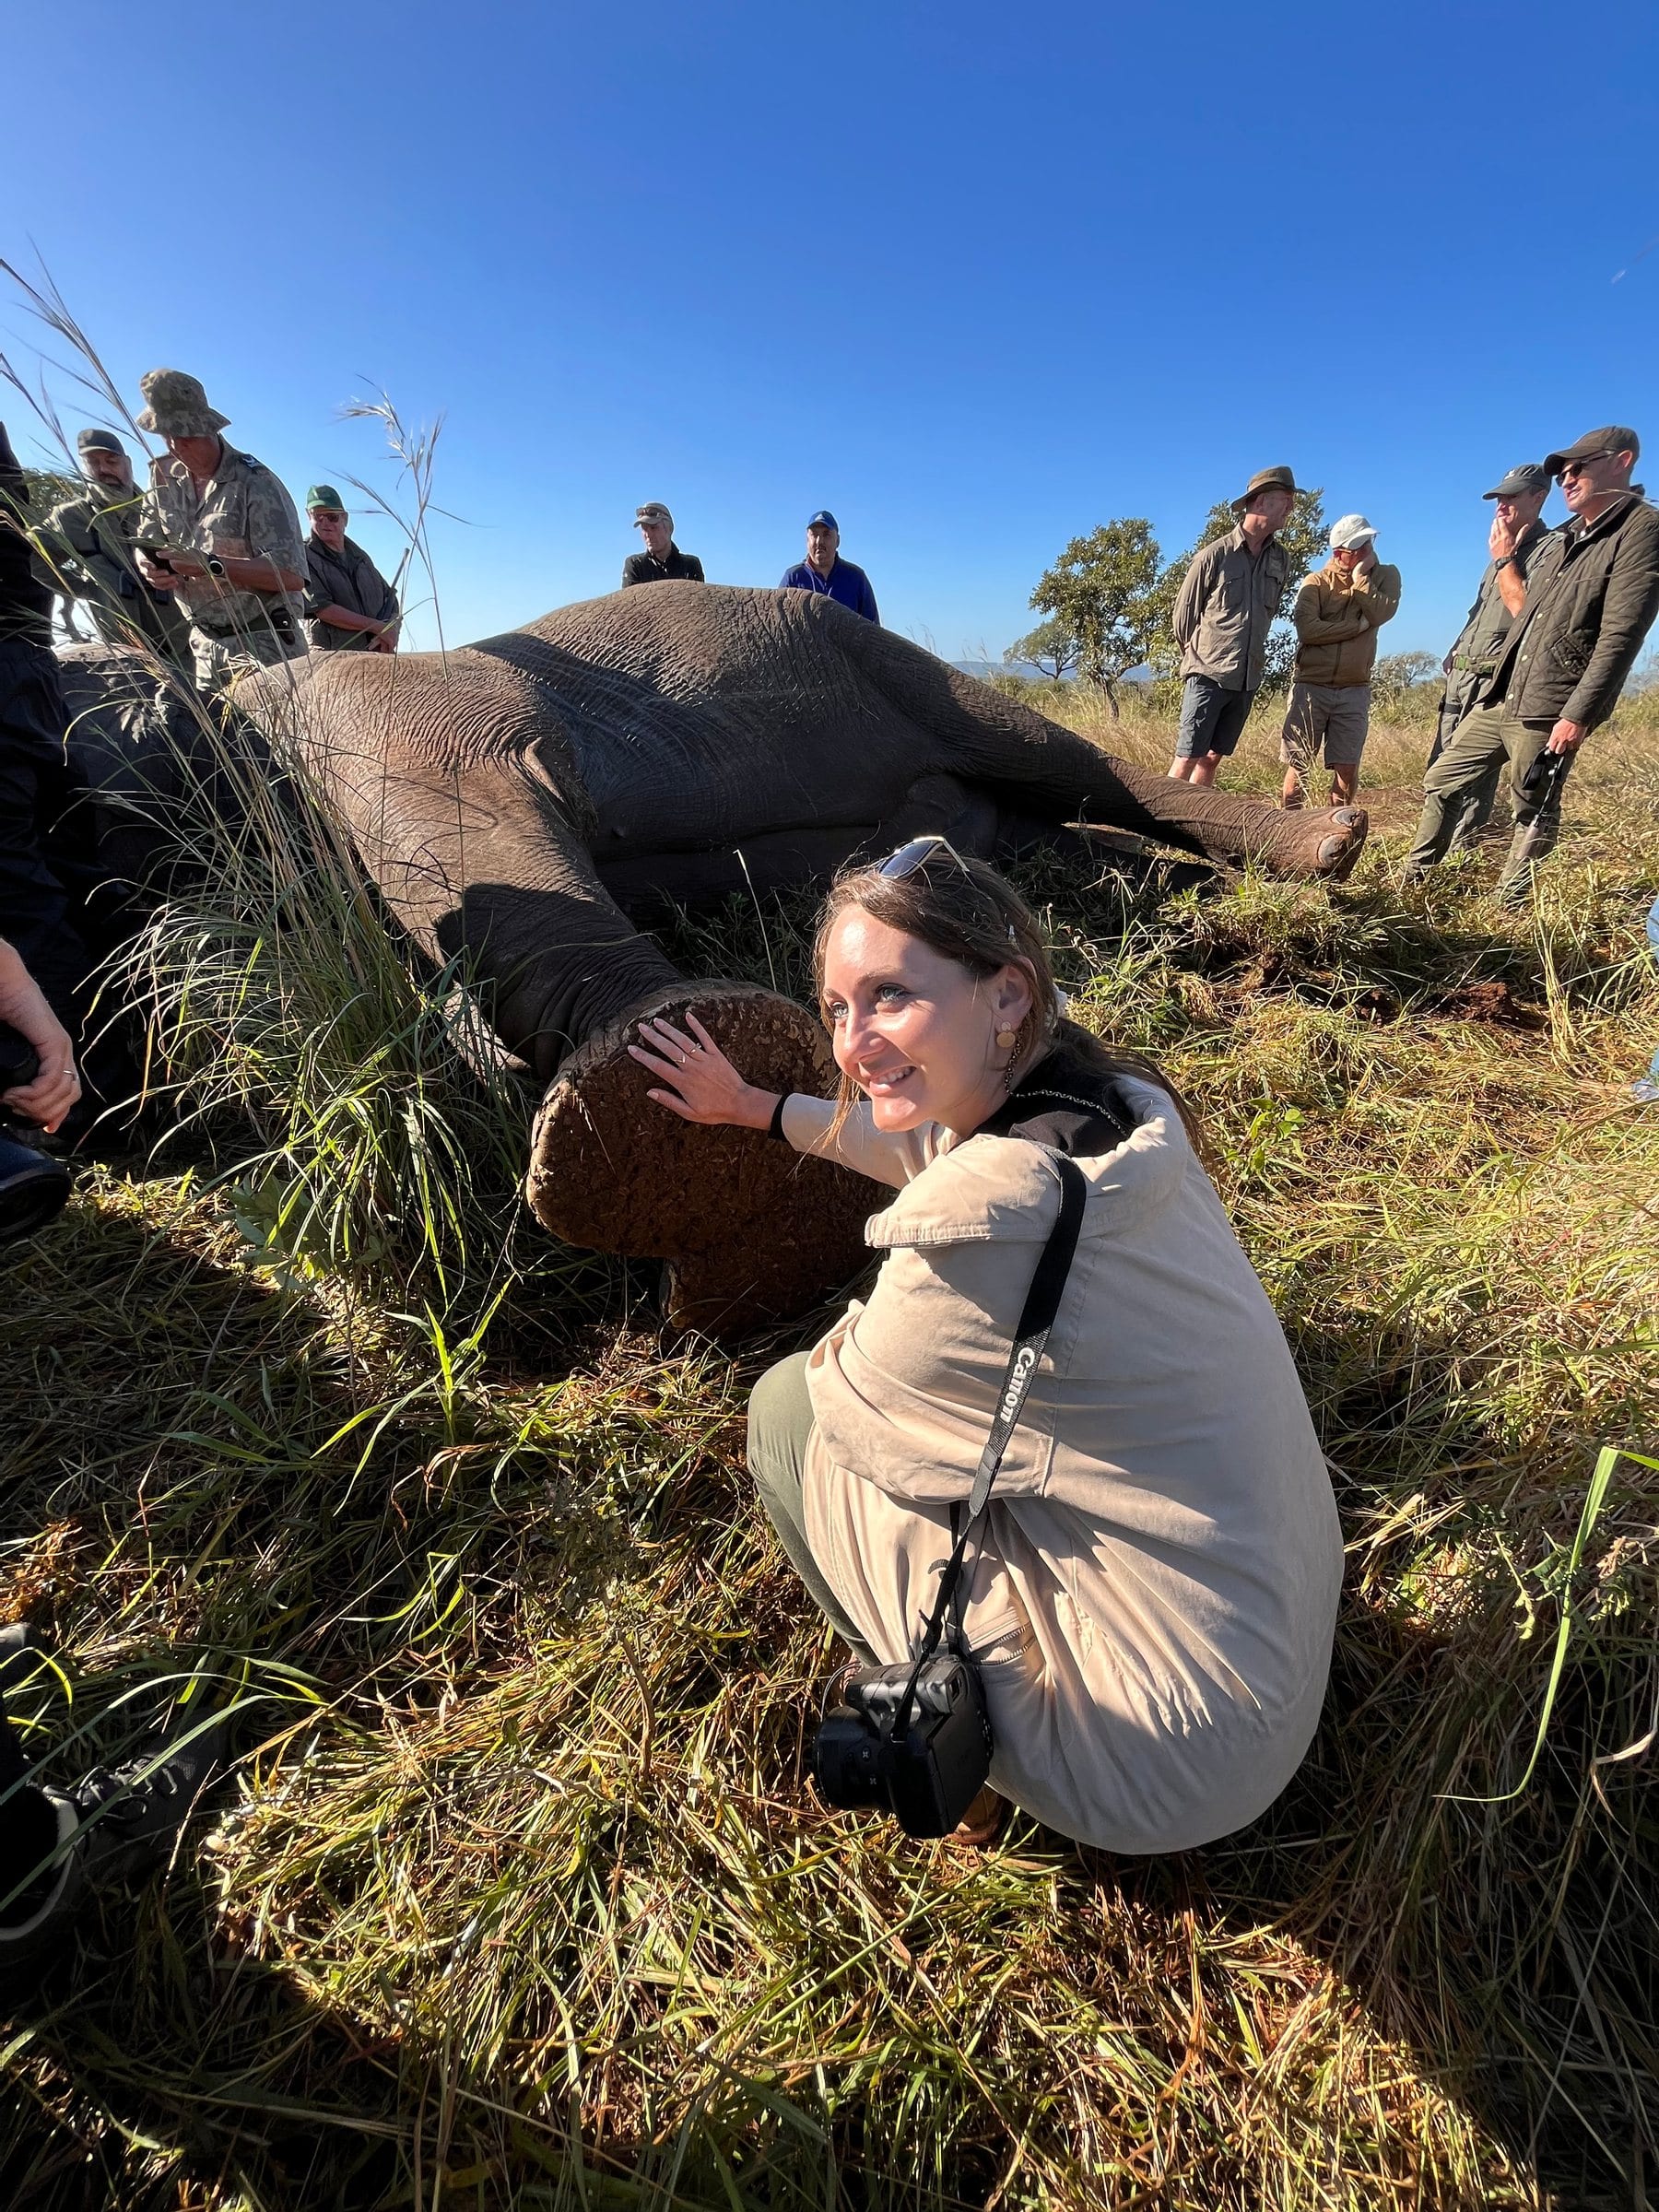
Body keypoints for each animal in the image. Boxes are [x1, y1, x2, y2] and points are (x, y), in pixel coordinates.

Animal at [193, 582, 1367, 1333]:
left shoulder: (370, 715)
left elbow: (452, 824)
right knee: (1041, 837)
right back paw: (1202, 904)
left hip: (893, 663)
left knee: (1063, 760)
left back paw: (1330, 850)